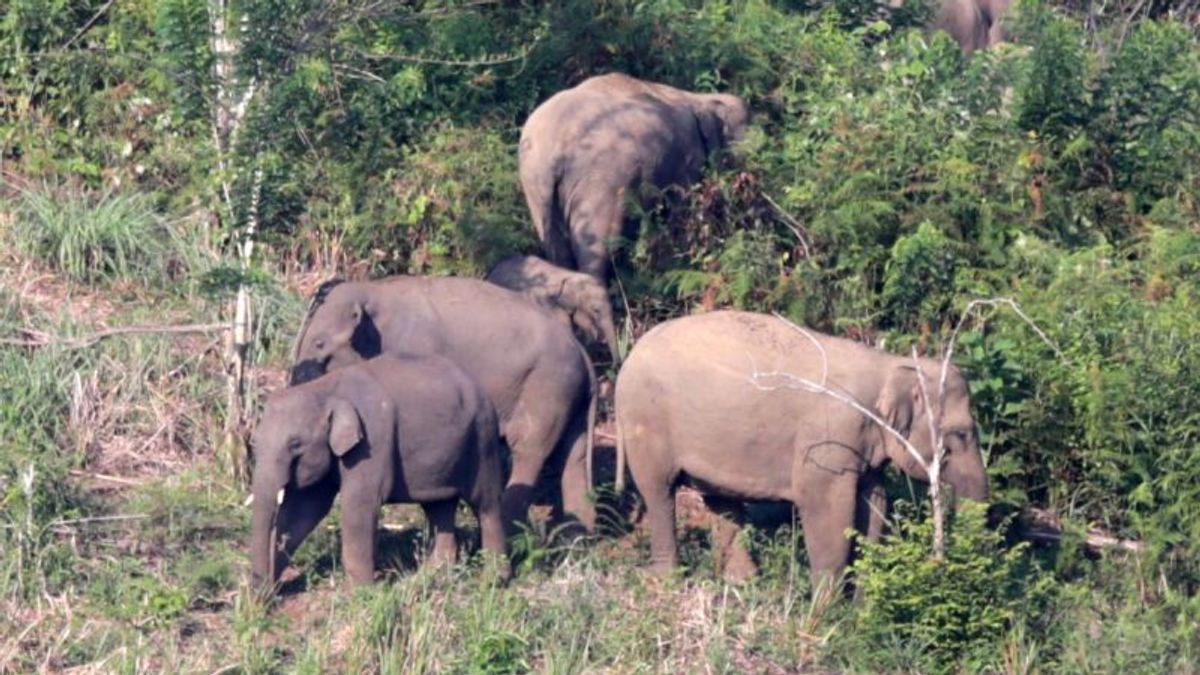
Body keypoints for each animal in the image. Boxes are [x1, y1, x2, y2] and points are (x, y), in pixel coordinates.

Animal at [250, 348, 504, 590]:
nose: (261, 598)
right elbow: (305, 510)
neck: (326, 388)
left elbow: (359, 504)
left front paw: (361, 593)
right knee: (439, 506)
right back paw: (430, 576)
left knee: (485, 504)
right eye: (255, 442)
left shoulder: (372, 441)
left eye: (295, 444)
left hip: (482, 439)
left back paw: (493, 580)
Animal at [291, 276, 600, 533]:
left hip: (547, 389)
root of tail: (585, 355)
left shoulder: (415, 347)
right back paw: (577, 536)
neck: (374, 290)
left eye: (319, 343)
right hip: (570, 396)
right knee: (574, 456)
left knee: (529, 450)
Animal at [518, 74, 744, 281]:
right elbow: (681, 209)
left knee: (555, 248)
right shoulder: (688, 159)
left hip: (535, 184)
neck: (699, 98)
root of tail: (555, 148)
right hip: (600, 181)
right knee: (598, 246)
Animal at [614, 309, 988, 583]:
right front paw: (825, 617)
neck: (889, 365)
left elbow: (873, 506)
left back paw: (743, 582)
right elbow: (826, 510)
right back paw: (668, 581)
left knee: (721, 500)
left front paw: (859, 608)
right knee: (659, 492)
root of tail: (629, 356)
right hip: (645, 421)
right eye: (961, 434)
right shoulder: (827, 437)